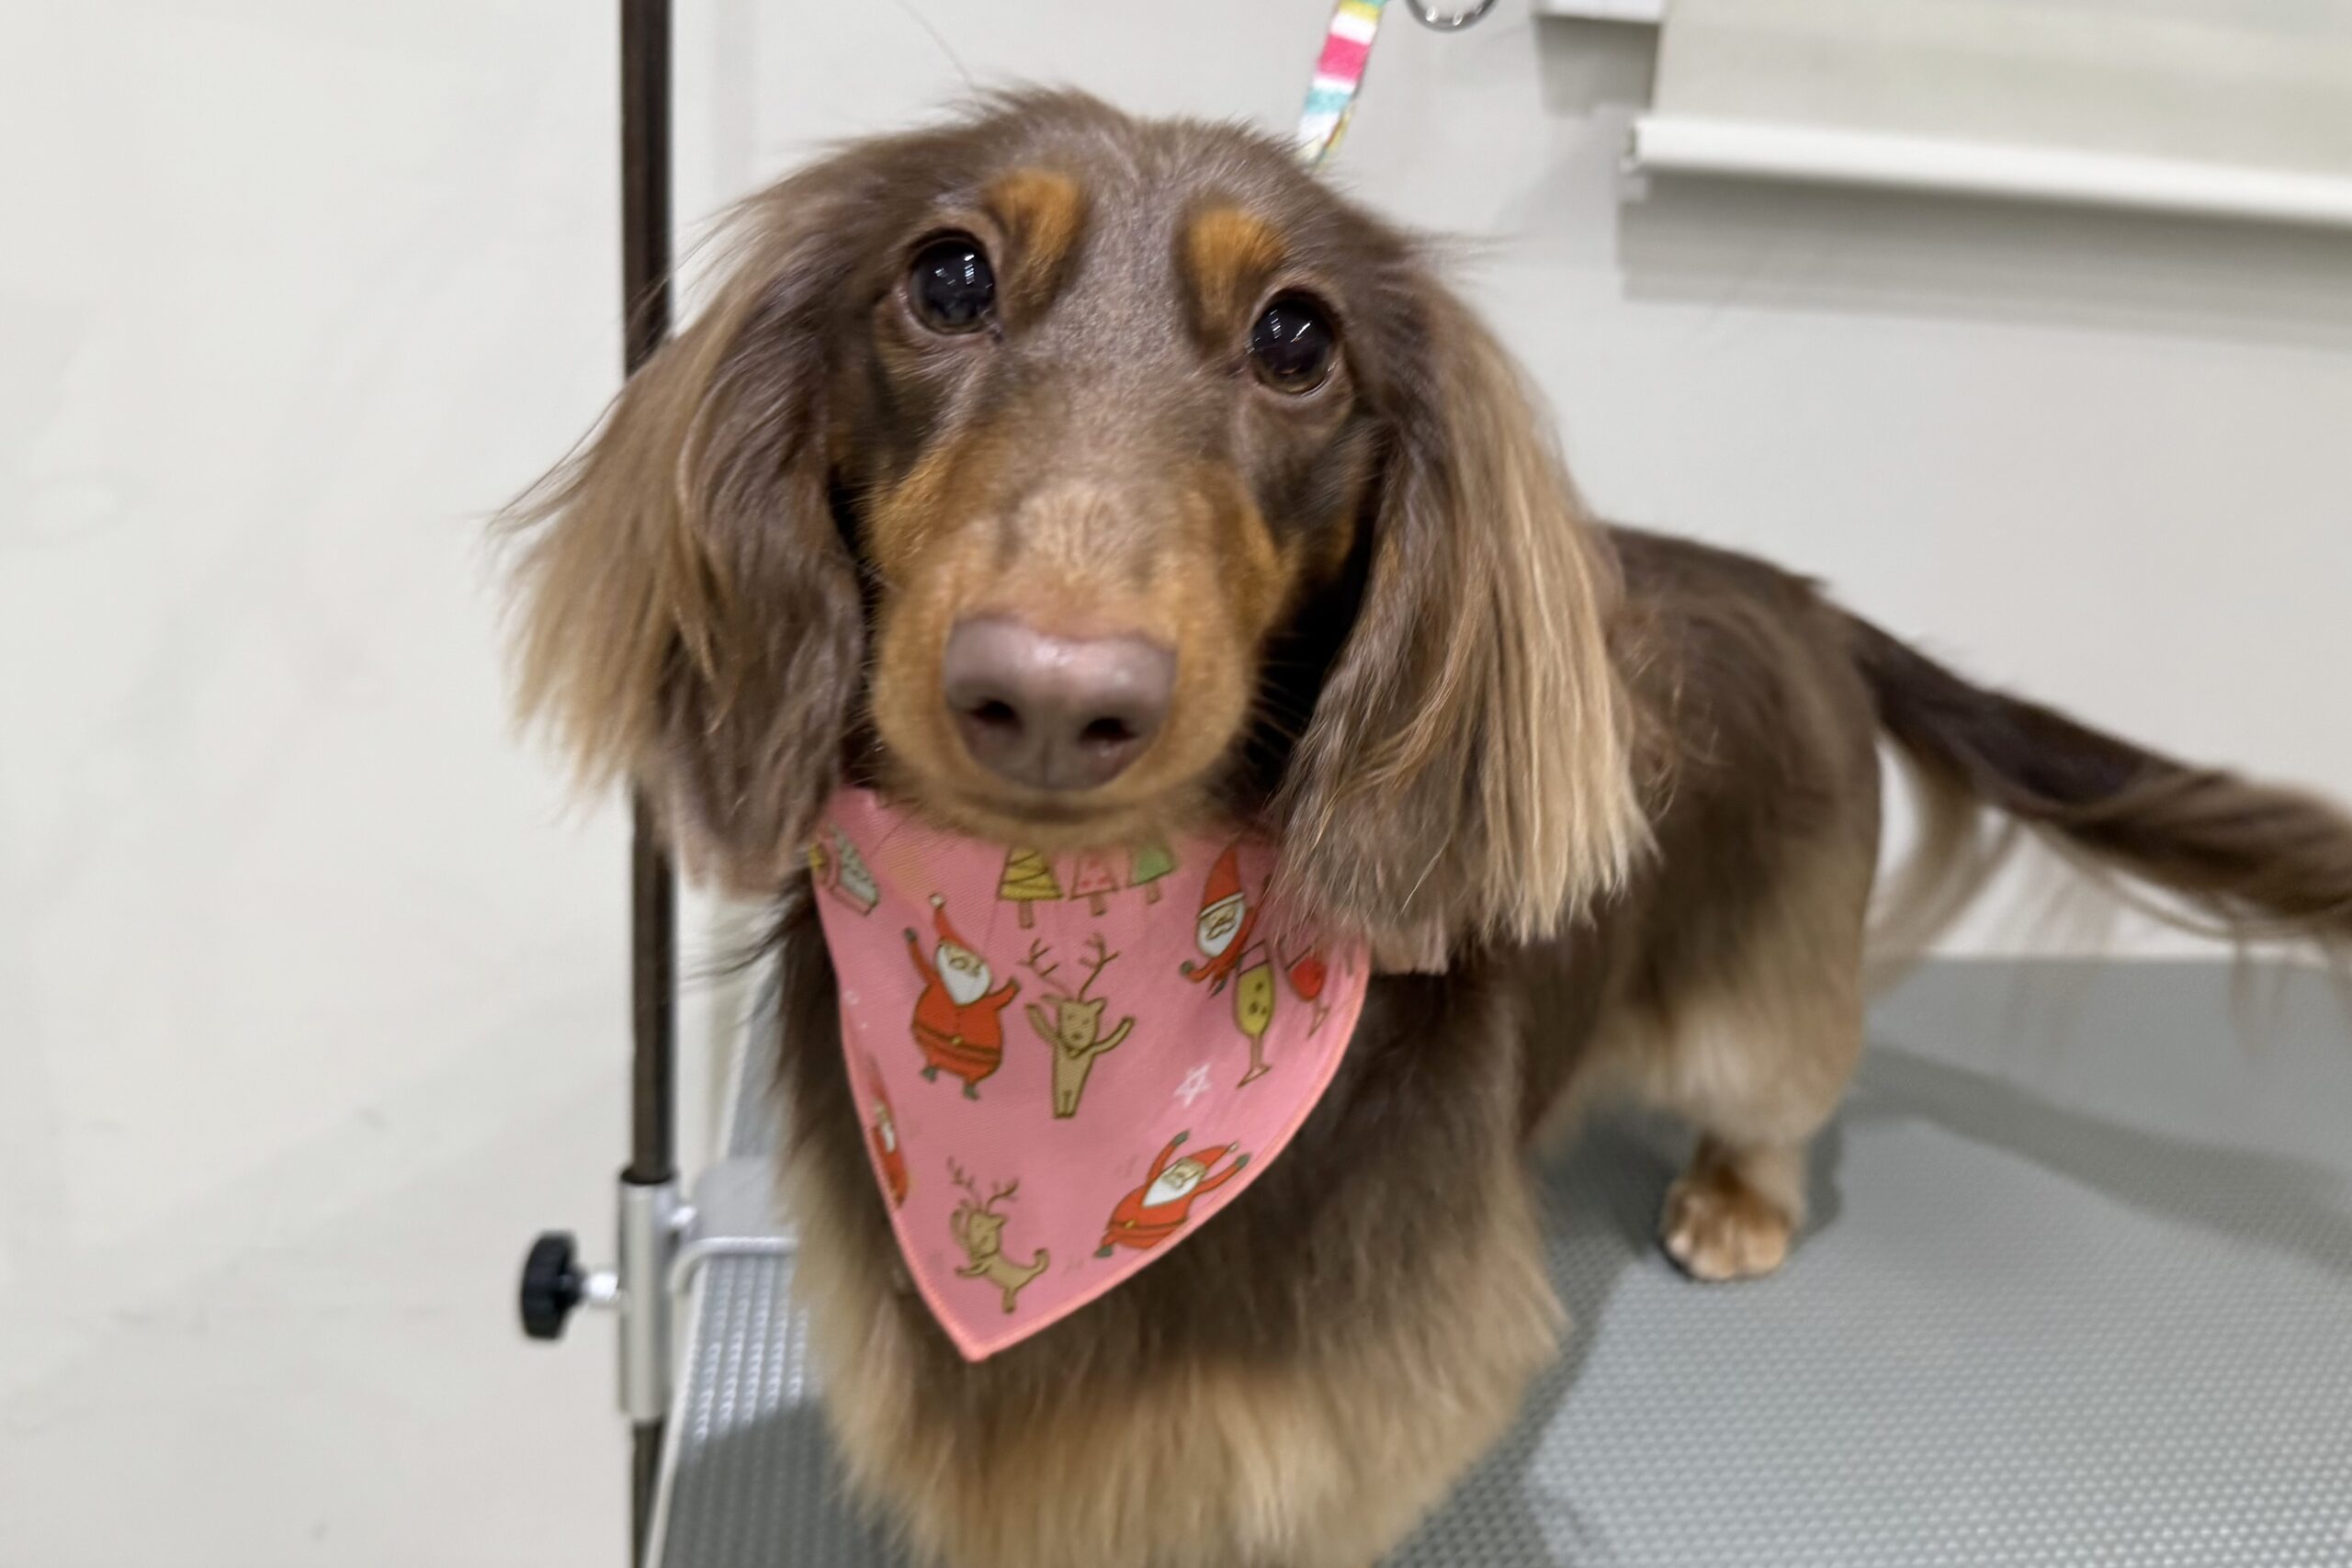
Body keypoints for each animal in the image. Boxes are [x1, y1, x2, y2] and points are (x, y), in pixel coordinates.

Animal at [502, 91, 2352, 1568]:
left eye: (1297, 338)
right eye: (945, 278)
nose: (1050, 698)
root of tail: (1806, 597)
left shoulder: (1352, 1404)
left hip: (1763, 983)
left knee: (1786, 1082)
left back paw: (1738, 1195)